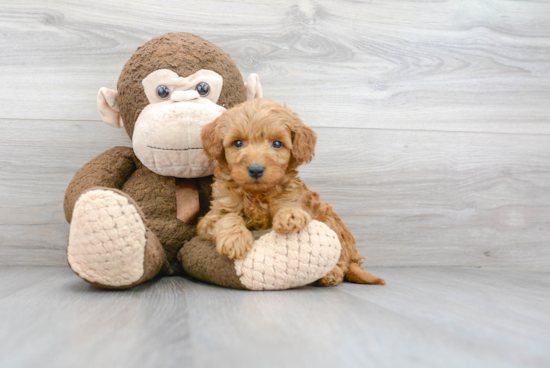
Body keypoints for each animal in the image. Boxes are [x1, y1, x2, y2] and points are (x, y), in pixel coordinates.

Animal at [196, 98, 386, 288]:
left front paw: (290, 216)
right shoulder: (211, 217)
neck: (257, 195)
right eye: (237, 143)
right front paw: (235, 240)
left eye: (277, 144)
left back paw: (331, 275)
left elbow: (290, 206)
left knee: (341, 259)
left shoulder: (295, 198)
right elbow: (227, 217)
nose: (256, 170)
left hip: (331, 222)